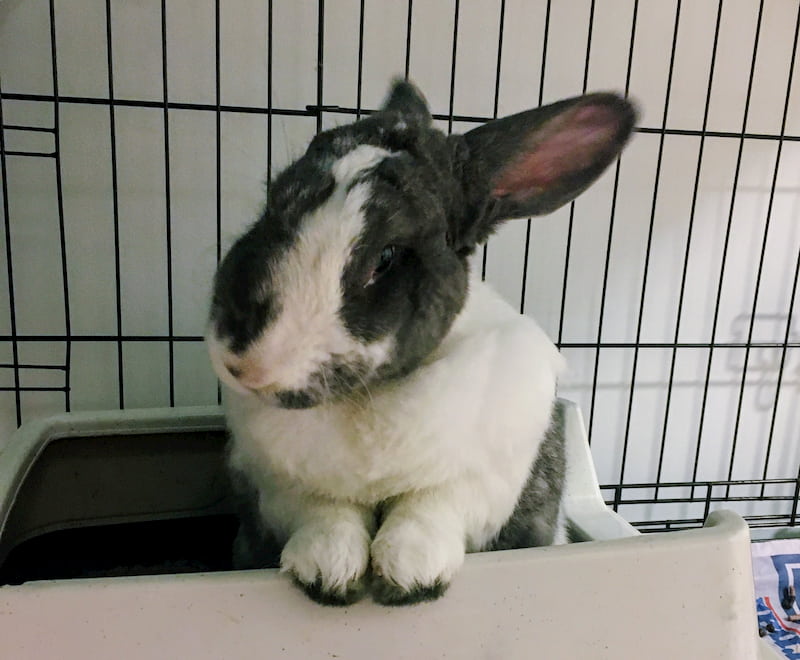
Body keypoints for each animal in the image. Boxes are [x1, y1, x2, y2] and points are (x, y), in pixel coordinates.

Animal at [207, 79, 637, 607]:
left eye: (388, 256)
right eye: (274, 199)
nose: (243, 363)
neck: (367, 401)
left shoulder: (486, 477)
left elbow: (432, 504)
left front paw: (410, 575)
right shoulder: (277, 487)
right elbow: (324, 511)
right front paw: (328, 573)